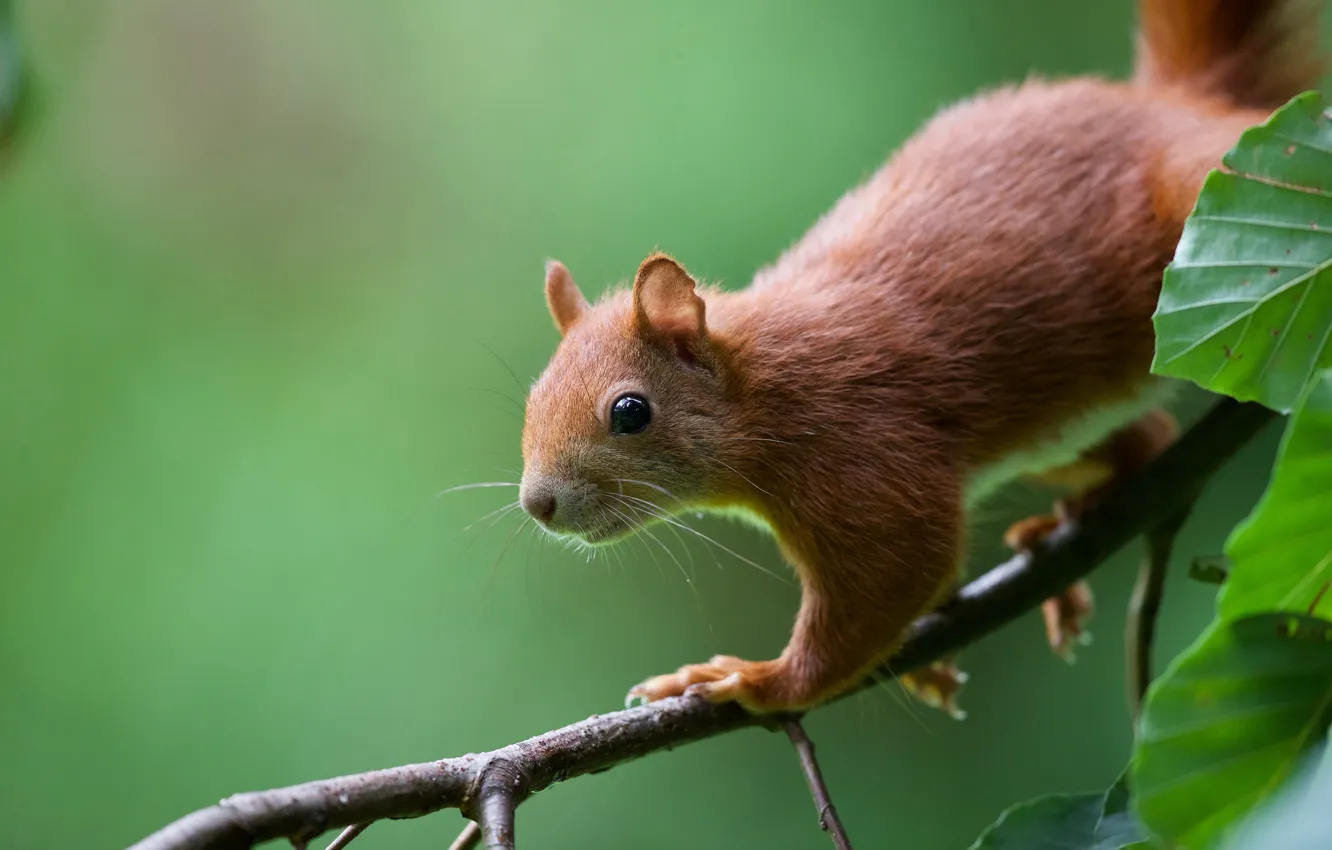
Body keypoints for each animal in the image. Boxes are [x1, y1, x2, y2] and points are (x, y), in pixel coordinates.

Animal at [517, 0, 1325, 717]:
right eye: (530, 401)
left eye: (631, 411)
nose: (538, 504)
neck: (764, 383)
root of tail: (1177, 102)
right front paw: (925, 666)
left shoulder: (863, 451)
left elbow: (895, 574)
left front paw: (754, 679)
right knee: (1148, 438)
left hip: (1196, 195)